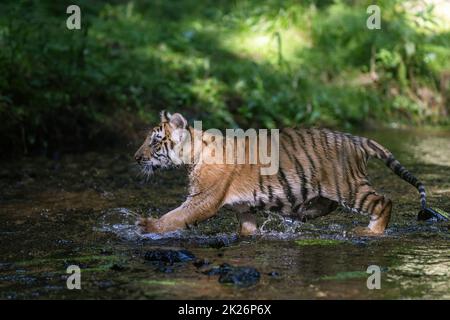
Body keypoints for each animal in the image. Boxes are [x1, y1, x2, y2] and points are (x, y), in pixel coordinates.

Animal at [134, 111, 440, 236]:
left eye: (155, 141)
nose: (136, 158)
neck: (194, 153)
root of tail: (356, 139)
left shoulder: (202, 200)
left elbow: (175, 216)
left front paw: (146, 226)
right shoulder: (243, 209)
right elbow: (248, 229)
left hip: (349, 187)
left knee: (383, 201)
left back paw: (372, 231)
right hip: (328, 190)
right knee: (325, 206)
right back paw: (301, 213)